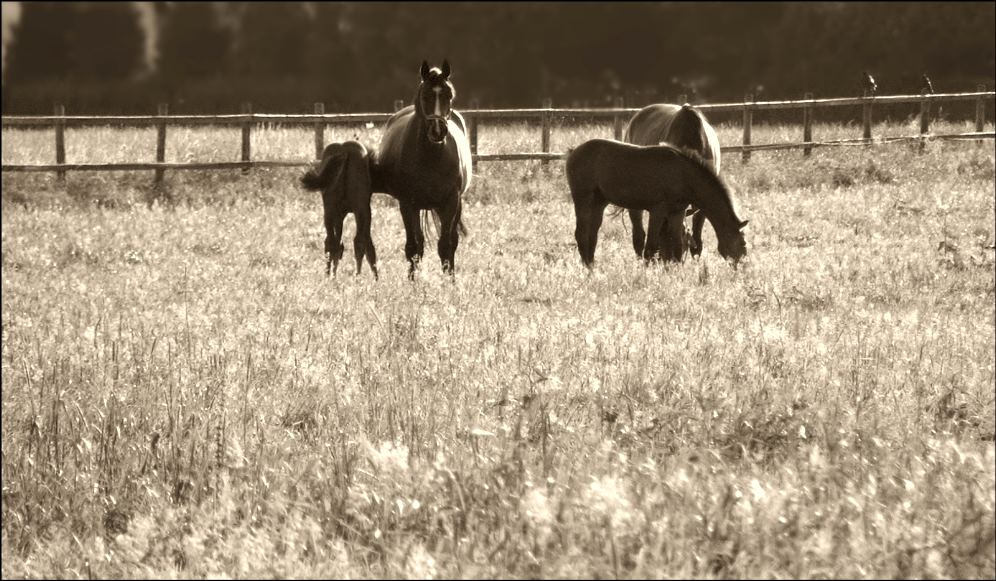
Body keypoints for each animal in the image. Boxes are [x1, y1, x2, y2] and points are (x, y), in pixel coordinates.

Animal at [298, 140, 380, 276]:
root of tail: (344, 150)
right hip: (358, 210)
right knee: (353, 242)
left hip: (333, 210)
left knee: (335, 243)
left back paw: (334, 276)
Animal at [376, 60, 472, 278]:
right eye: (426, 96)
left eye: (449, 95)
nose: (438, 130)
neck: (431, 157)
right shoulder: (407, 204)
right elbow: (413, 247)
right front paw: (412, 282)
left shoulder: (450, 202)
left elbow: (446, 245)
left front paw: (449, 281)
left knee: (452, 240)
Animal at [568, 139, 748, 268]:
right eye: (742, 242)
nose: (741, 265)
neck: (684, 175)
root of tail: (574, 152)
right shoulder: (658, 210)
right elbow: (651, 247)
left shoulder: (677, 212)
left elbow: (676, 245)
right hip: (582, 200)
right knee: (581, 234)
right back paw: (587, 269)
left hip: (599, 203)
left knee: (592, 236)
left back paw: (591, 266)